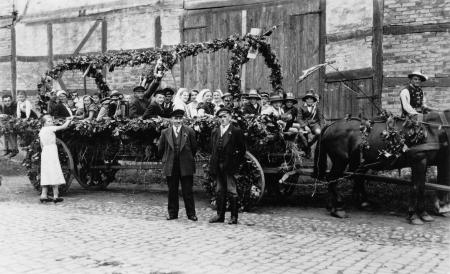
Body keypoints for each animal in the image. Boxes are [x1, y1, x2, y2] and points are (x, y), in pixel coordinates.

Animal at [312, 110, 450, 224]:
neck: (431, 129)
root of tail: (330, 126)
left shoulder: (425, 163)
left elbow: (421, 186)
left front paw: (424, 213)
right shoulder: (419, 161)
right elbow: (418, 187)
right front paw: (414, 215)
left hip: (358, 161)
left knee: (354, 178)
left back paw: (338, 205)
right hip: (340, 160)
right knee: (332, 178)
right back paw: (338, 208)